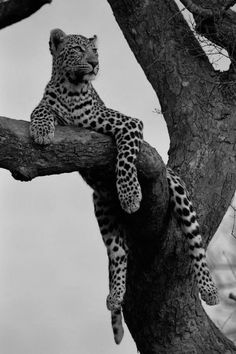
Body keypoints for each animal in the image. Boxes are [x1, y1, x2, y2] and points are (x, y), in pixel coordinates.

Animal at [29, 29, 219, 344]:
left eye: (95, 51)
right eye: (78, 50)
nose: (94, 64)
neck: (72, 87)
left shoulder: (129, 124)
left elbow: (126, 158)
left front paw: (130, 194)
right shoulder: (49, 105)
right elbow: (40, 110)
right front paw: (42, 131)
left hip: (179, 194)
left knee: (196, 242)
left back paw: (209, 289)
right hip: (103, 210)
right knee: (118, 253)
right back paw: (115, 295)